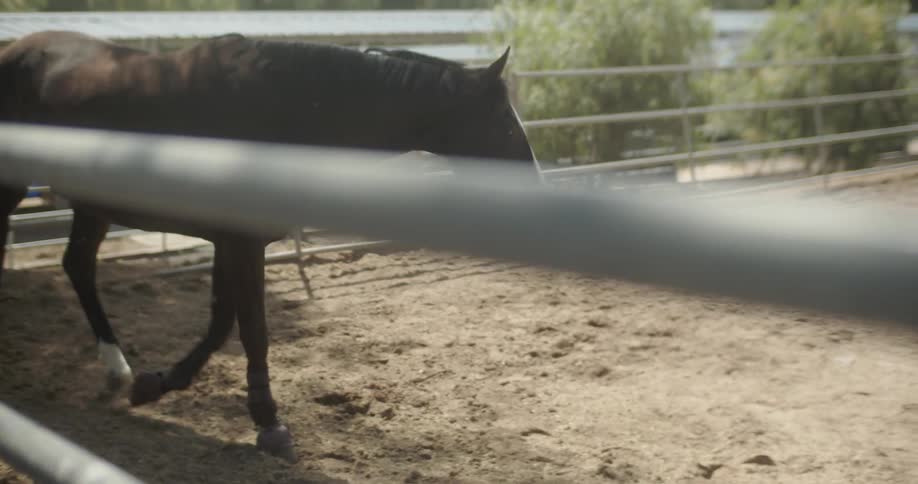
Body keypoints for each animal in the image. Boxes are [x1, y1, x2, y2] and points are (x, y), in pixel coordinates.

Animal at [0, 31, 537, 460]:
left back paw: (117, 372)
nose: (535, 183)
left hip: (92, 208)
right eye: (504, 122)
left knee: (77, 267)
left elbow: (221, 322)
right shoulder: (242, 242)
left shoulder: (231, 241)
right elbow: (253, 330)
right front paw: (269, 423)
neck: (281, 110)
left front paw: (156, 385)